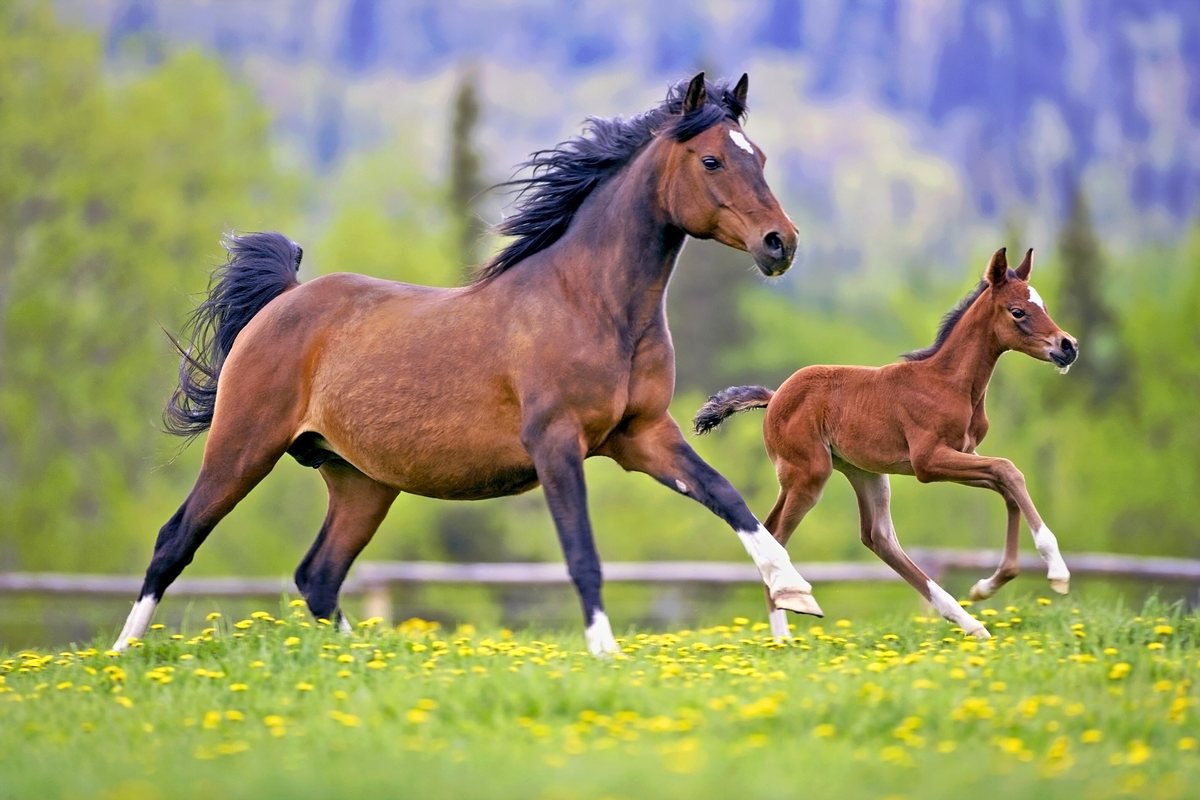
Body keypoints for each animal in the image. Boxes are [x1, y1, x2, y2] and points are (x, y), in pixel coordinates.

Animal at [112, 72, 823, 657]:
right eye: (712, 159)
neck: (592, 305)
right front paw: (606, 653)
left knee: (318, 575)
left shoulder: (642, 436)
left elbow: (729, 498)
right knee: (175, 540)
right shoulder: (556, 442)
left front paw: (796, 593)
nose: (781, 244)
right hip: (244, 445)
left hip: (361, 481)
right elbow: (582, 552)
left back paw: (369, 658)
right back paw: (121, 655)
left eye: (758, 157)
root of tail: (283, 300)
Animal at [693, 247, 1079, 640]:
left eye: (1043, 305)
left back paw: (969, 622)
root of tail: (774, 397)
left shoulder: (962, 455)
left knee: (877, 537)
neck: (949, 383)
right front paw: (1057, 572)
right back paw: (785, 630)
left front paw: (987, 585)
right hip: (808, 474)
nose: (1068, 346)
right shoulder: (929, 462)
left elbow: (1006, 485)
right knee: (776, 534)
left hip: (865, 472)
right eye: (1018, 311)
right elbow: (1008, 470)